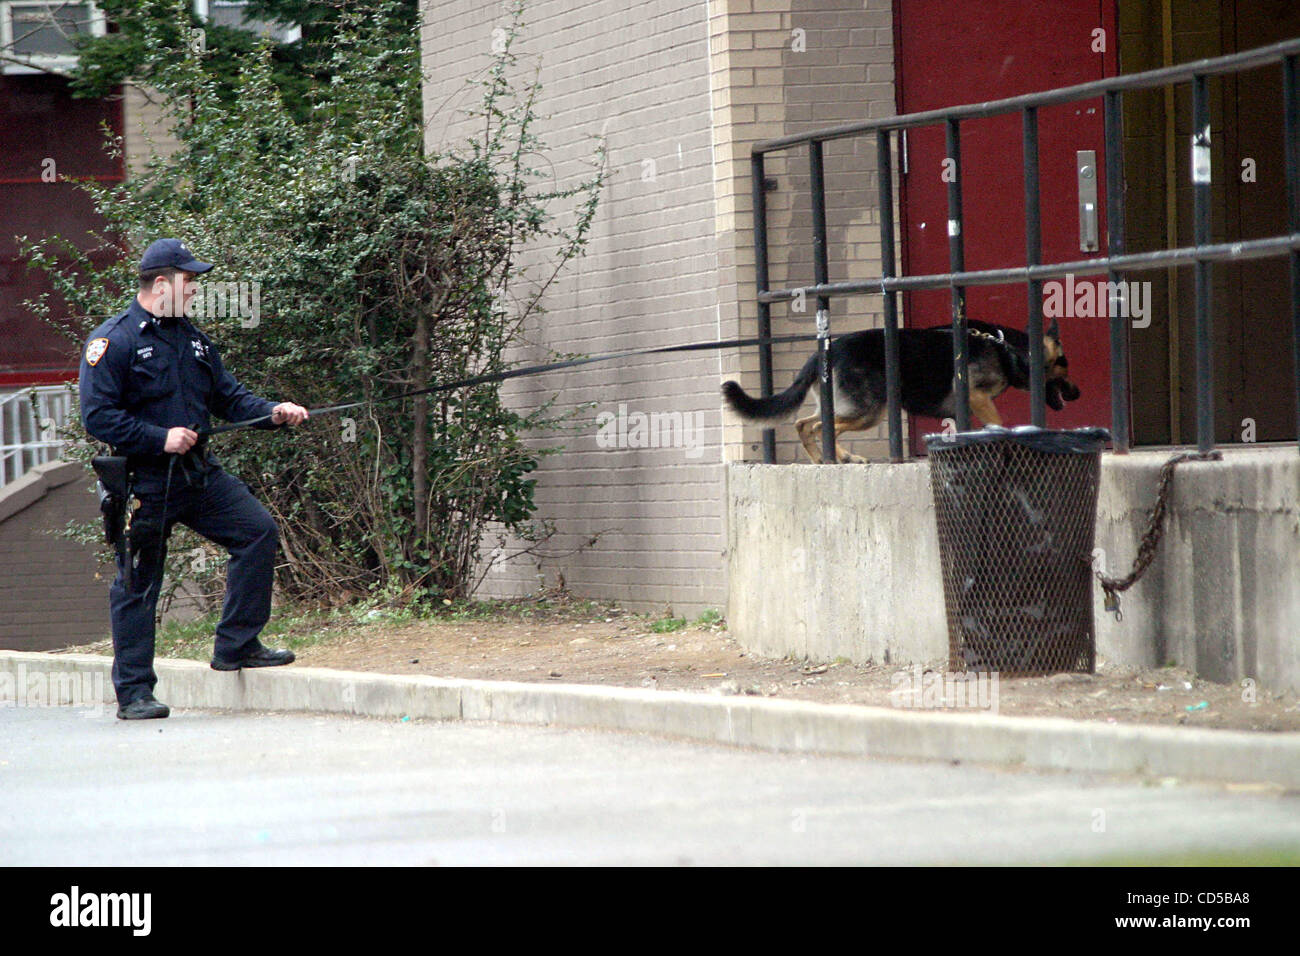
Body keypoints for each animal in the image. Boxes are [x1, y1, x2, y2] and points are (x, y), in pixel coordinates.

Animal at [722, 321, 1076, 463]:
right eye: (1064, 364)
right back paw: (841, 456)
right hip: (869, 411)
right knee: (822, 426)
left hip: (847, 405)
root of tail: (825, 352)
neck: (1008, 351)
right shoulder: (978, 398)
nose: (1078, 392)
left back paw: (824, 458)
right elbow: (999, 424)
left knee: (804, 424)